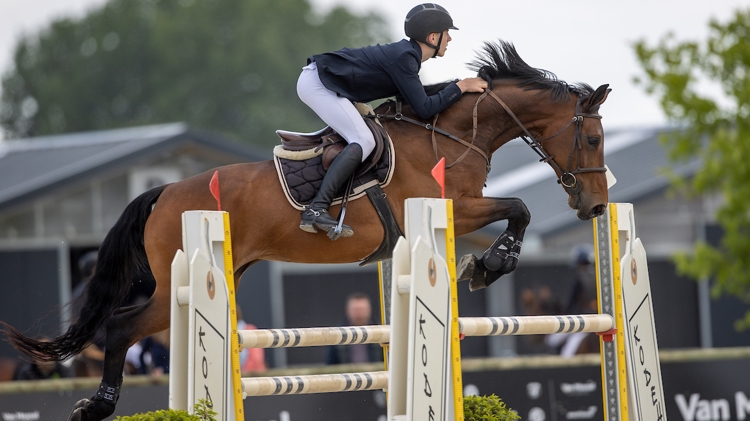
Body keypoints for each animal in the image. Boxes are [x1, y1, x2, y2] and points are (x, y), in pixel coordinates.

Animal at [0, 40, 612, 420]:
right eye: (592, 139)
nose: (596, 207)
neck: (452, 134)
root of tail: (164, 192)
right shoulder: (454, 208)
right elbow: (518, 208)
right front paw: (488, 265)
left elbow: (516, 209)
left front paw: (486, 264)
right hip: (178, 274)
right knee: (121, 325)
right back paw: (97, 405)